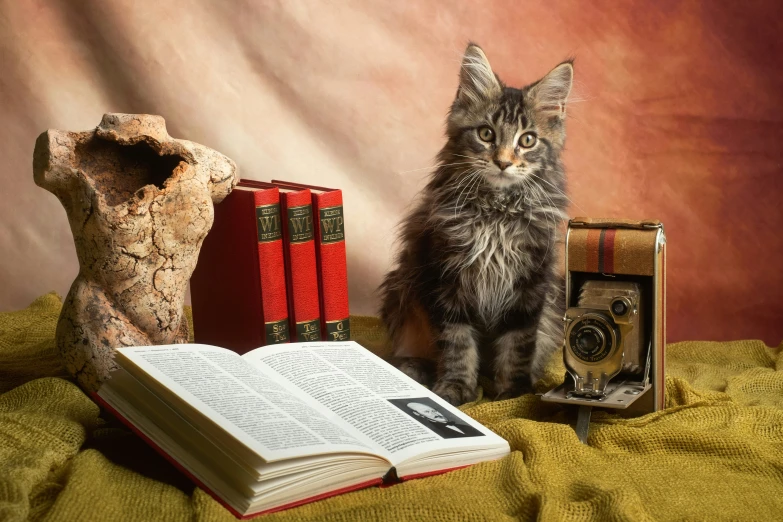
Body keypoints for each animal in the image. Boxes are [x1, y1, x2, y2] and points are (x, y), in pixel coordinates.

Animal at [382, 42, 576, 404]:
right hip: (402, 289)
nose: (502, 162)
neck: (497, 211)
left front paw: (513, 393)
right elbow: (457, 344)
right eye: (486, 134)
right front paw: (455, 388)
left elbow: (518, 345)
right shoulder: (446, 278)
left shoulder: (530, 285)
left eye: (527, 140)